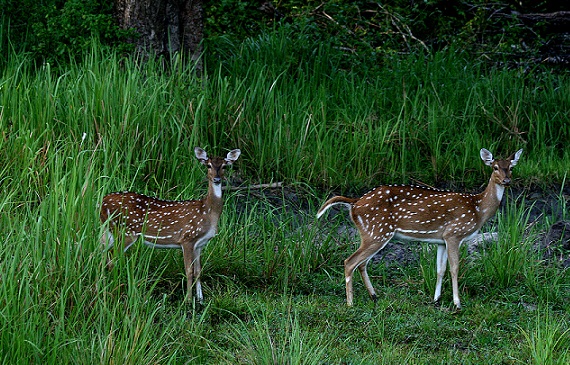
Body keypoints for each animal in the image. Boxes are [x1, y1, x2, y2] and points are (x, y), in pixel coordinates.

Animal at [100, 146, 240, 302]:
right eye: (208, 165)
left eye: (224, 166)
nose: (216, 179)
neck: (208, 212)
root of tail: (102, 202)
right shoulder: (187, 238)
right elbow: (189, 270)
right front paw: (188, 300)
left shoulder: (200, 244)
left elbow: (198, 271)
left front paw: (200, 299)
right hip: (125, 232)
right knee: (112, 259)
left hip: (110, 231)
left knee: (102, 253)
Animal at [316, 147, 520, 308]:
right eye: (494, 167)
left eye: (511, 167)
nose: (506, 181)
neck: (478, 209)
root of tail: (355, 203)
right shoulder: (454, 233)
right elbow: (454, 268)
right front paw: (457, 303)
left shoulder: (441, 240)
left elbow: (440, 269)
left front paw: (436, 299)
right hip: (377, 231)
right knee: (350, 262)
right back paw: (350, 303)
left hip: (371, 233)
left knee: (362, 263)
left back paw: (374, 296)